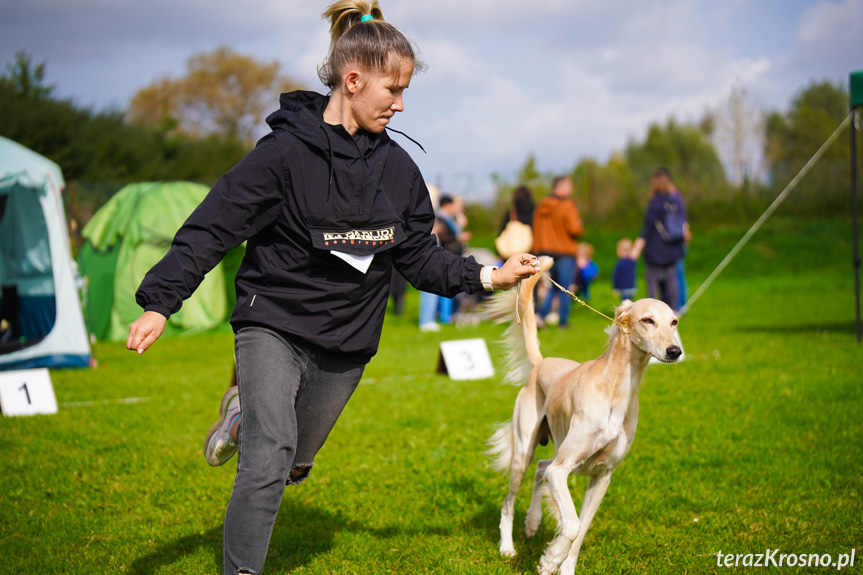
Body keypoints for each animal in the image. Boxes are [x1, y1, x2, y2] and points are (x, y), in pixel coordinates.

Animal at [486, 258, 680, 575]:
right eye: (647, 320)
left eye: (673, 322)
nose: (674, 351)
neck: (615, 391)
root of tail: (542, 362)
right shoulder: (563, 469)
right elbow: (572, 525)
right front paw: (550, 559)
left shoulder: (602, 476)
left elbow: (580, 532)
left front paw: (563, 565)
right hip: (523, 453)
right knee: (509, 500)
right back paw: (507, 546)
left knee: (541, 467)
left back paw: (533, 521)